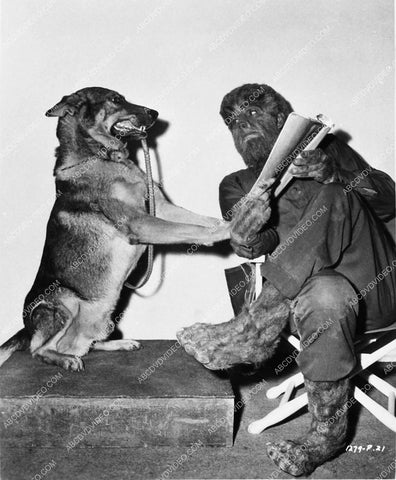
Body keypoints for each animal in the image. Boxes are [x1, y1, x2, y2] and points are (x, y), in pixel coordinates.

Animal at [0, 87, 229, 372]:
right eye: (115, 100)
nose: (155, 114)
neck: (100, 157)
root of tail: (25, 329)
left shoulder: (160, 209)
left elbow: (200, 220)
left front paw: (235, 220)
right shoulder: (138, 221)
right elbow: (189, 227)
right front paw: (224, 233)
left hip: (105, 319)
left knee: (84, 344)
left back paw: (117, 344)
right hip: (63, 301)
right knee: (39, 350)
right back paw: (65, 360)